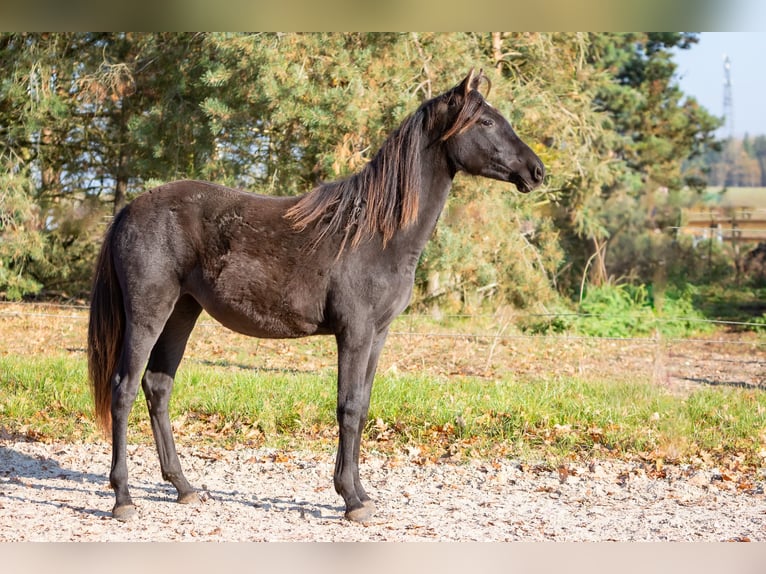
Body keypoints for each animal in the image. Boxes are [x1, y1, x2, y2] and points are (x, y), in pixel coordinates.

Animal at [87, 69, 545, 523]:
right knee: (124, 390)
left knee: (158, 387)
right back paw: (123, 499)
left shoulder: (377, 336)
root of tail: (127, 211)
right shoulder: (354, 333)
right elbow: (348, 408)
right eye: (485, 122)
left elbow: (361, 406)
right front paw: (352, 500)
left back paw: (183, 488)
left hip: (182, 312)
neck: (375, 232)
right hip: (148, 314)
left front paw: (360, 493)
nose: (537, 170)